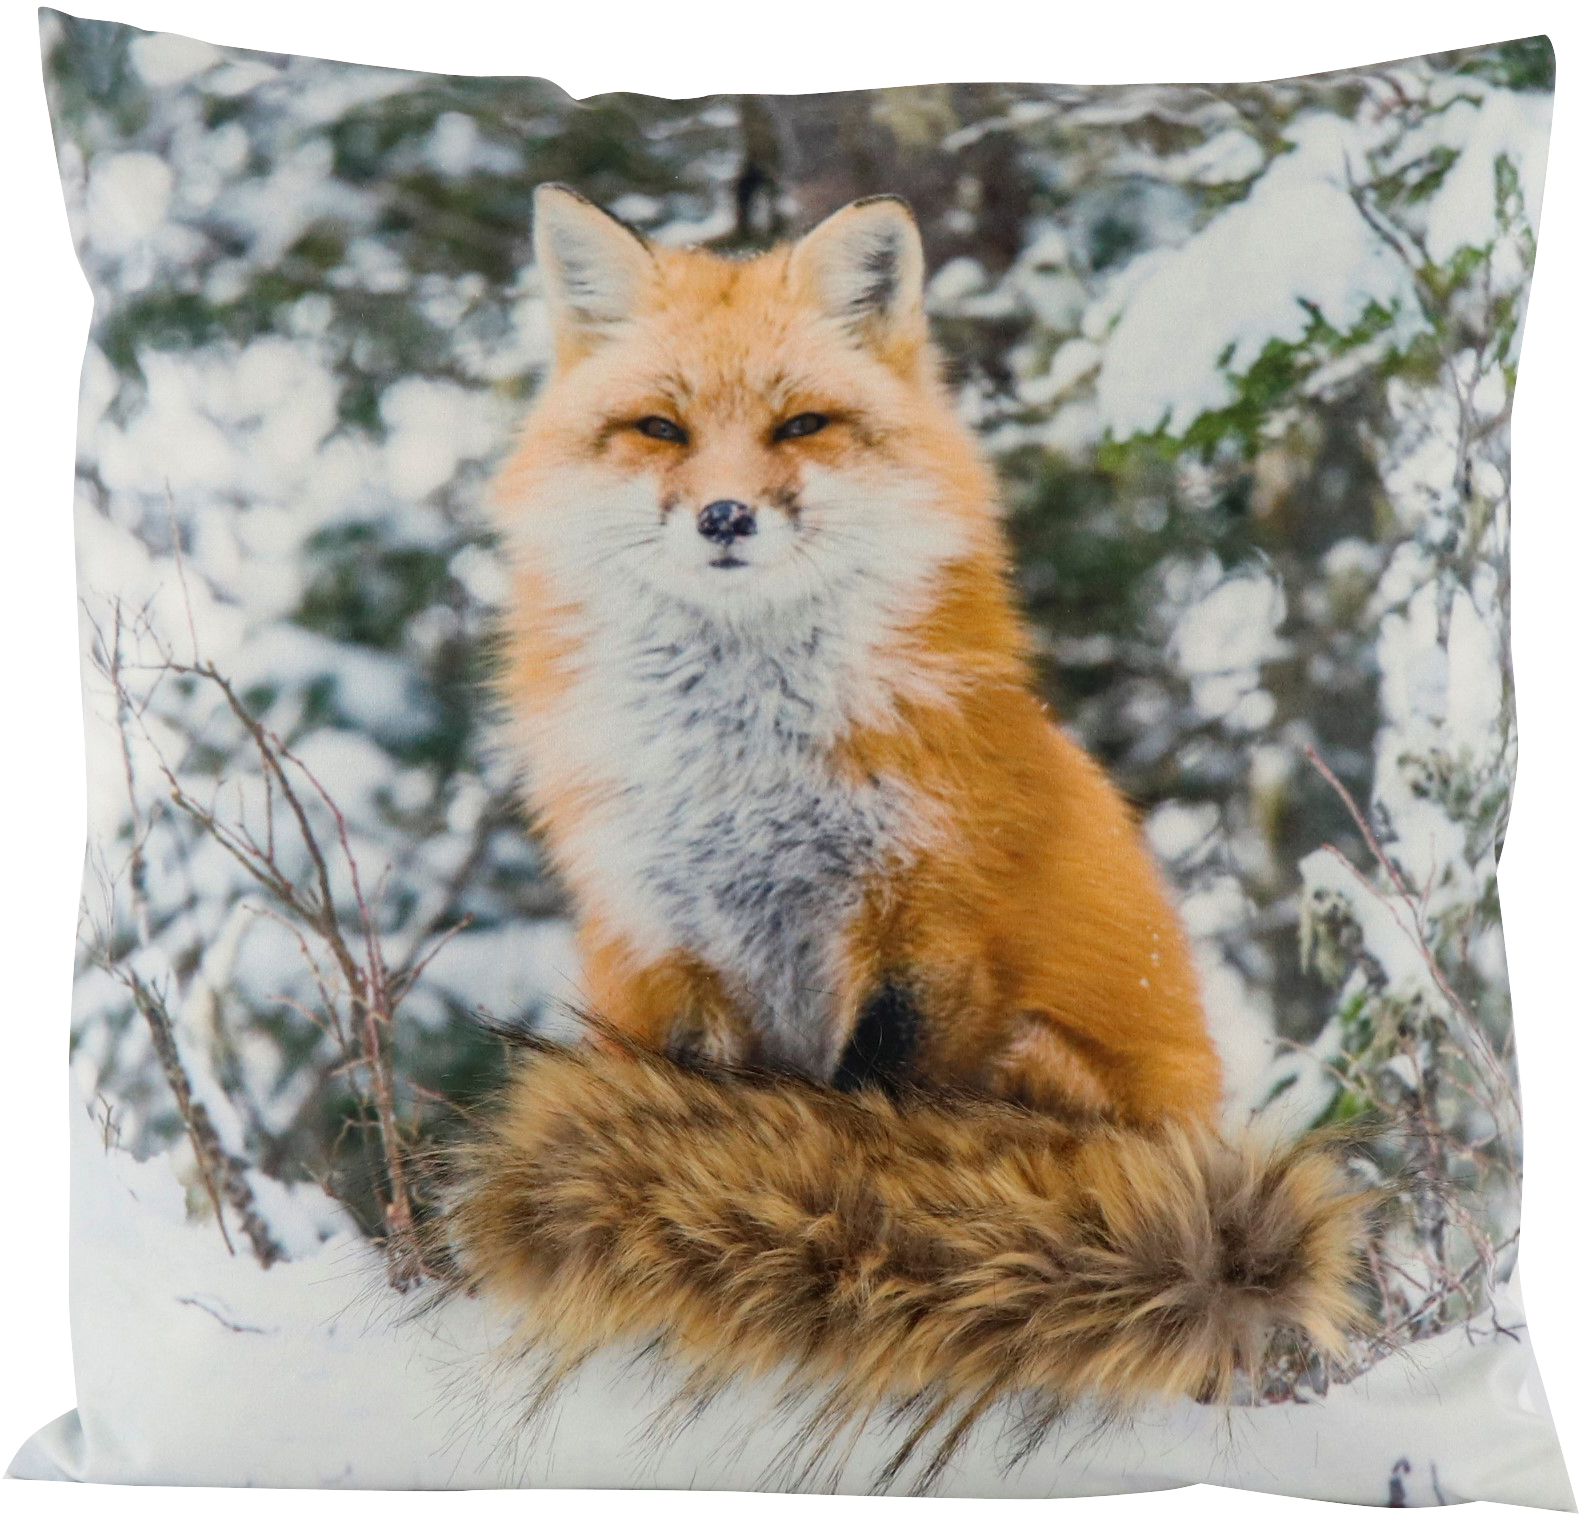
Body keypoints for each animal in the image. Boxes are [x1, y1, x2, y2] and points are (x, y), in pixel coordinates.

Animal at [445, 185, 1372, 1473]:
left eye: (800, 424)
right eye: (660, 429)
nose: (725, 516)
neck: (747, 768)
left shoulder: (928, 928)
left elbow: (863, 1128)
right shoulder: (664, 949)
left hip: (1042, 1060)